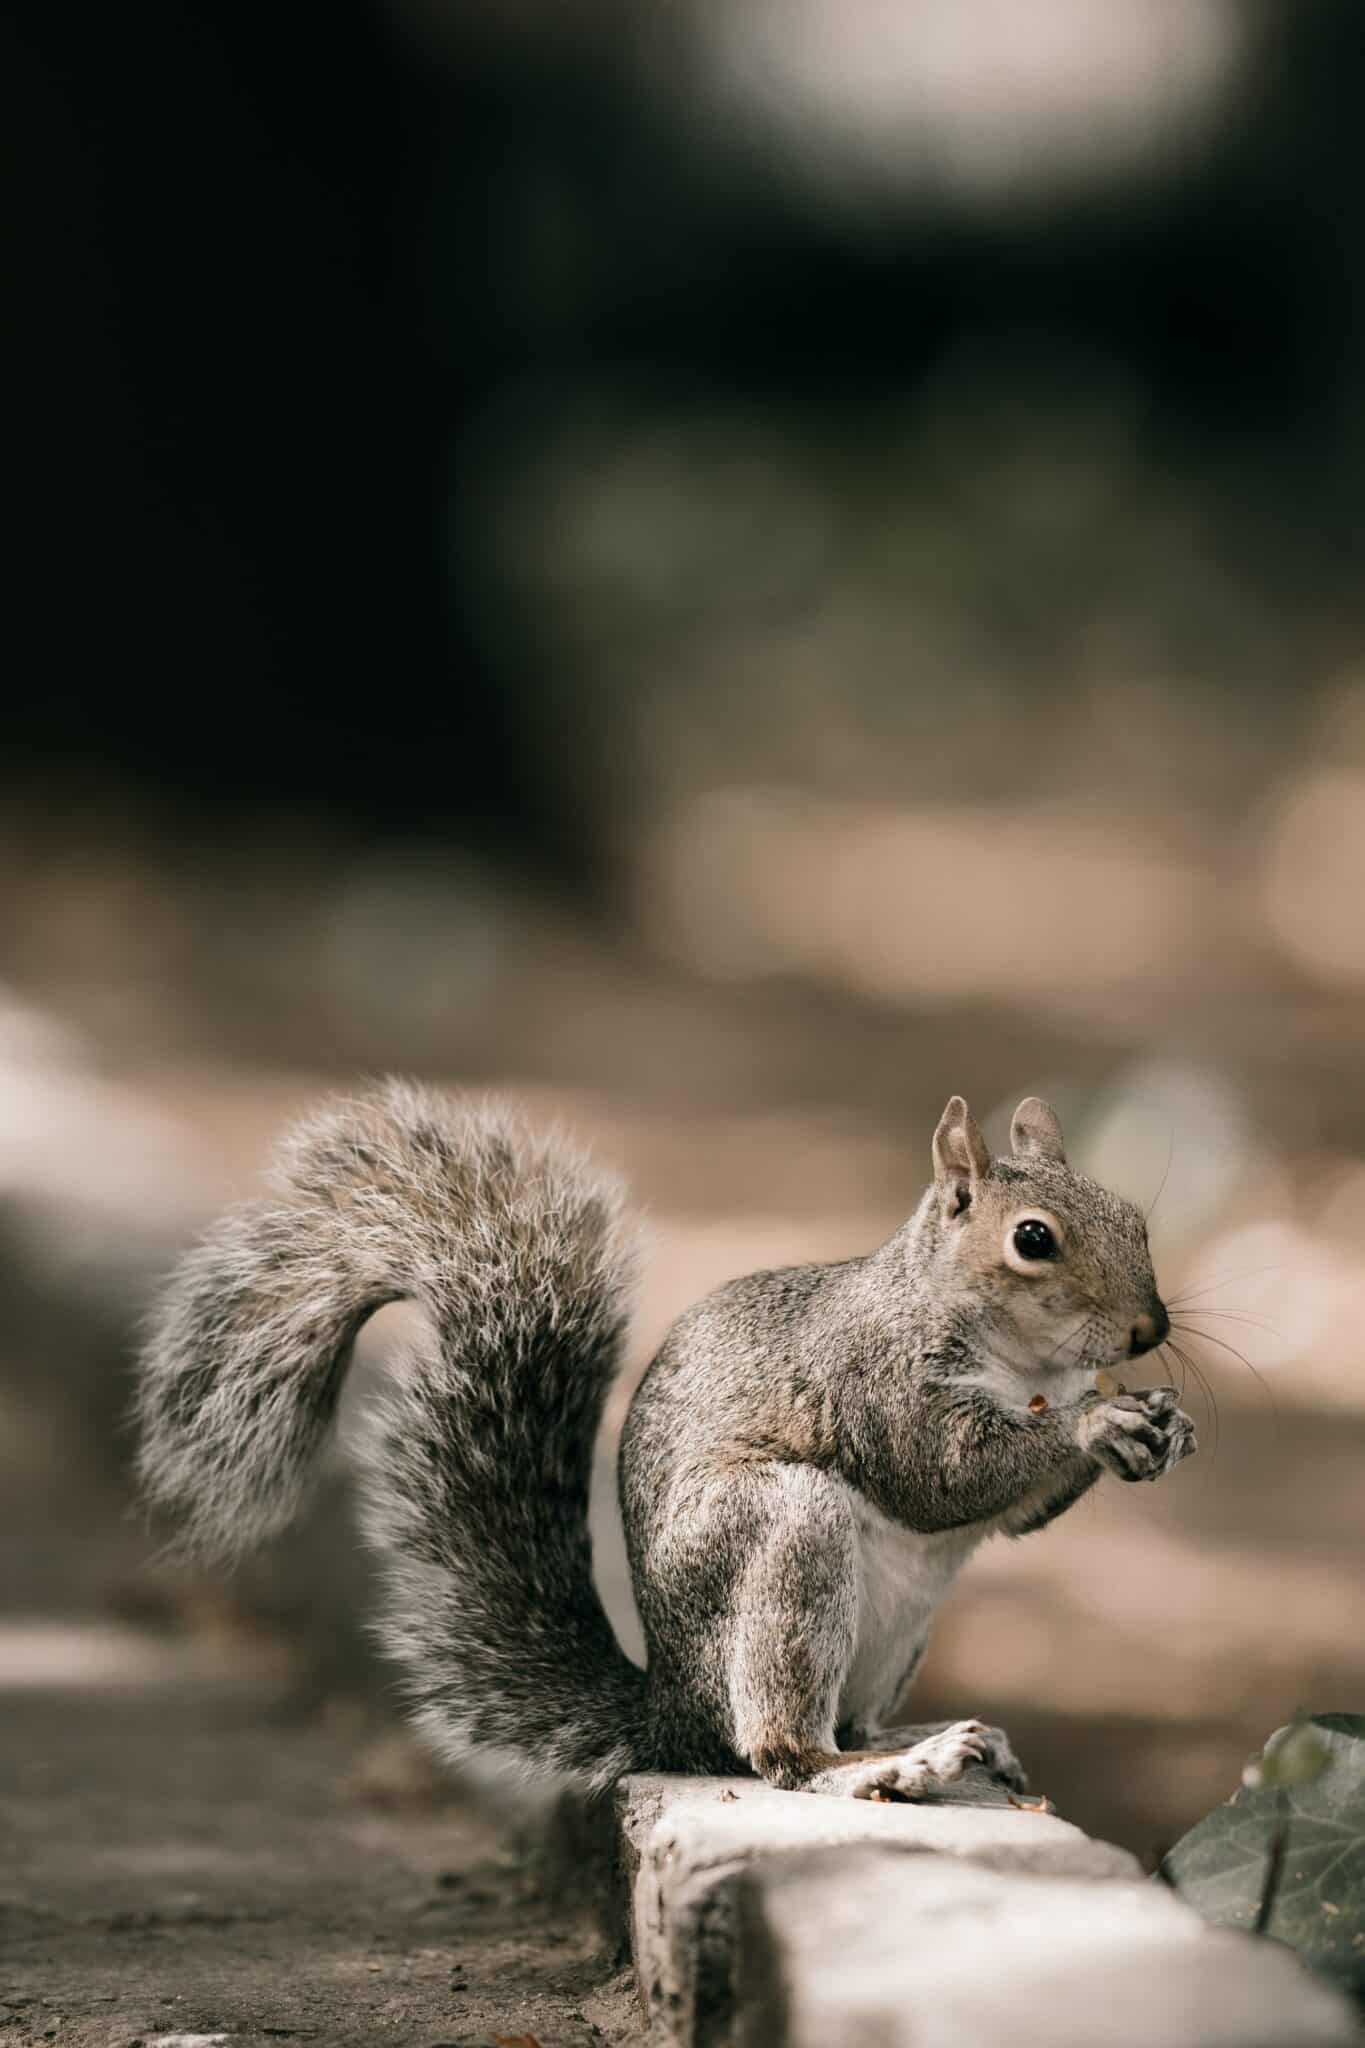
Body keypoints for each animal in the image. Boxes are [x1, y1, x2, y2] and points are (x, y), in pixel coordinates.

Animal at [136, 1082, 1196, 1802]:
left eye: (1135, 1219)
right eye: (1032, 1239)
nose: (1149, 1329)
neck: (1023, 1368)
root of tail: (673, 1713)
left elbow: (1010, 1517)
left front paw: (1155, 1423)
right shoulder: (872, 1381)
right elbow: (939, 1475)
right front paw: (1097, 1423)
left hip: (895, 1631)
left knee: (849, 1720)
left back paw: (933, 1741)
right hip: (783, 1539)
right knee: (781, 1753)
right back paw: (877, 1766)